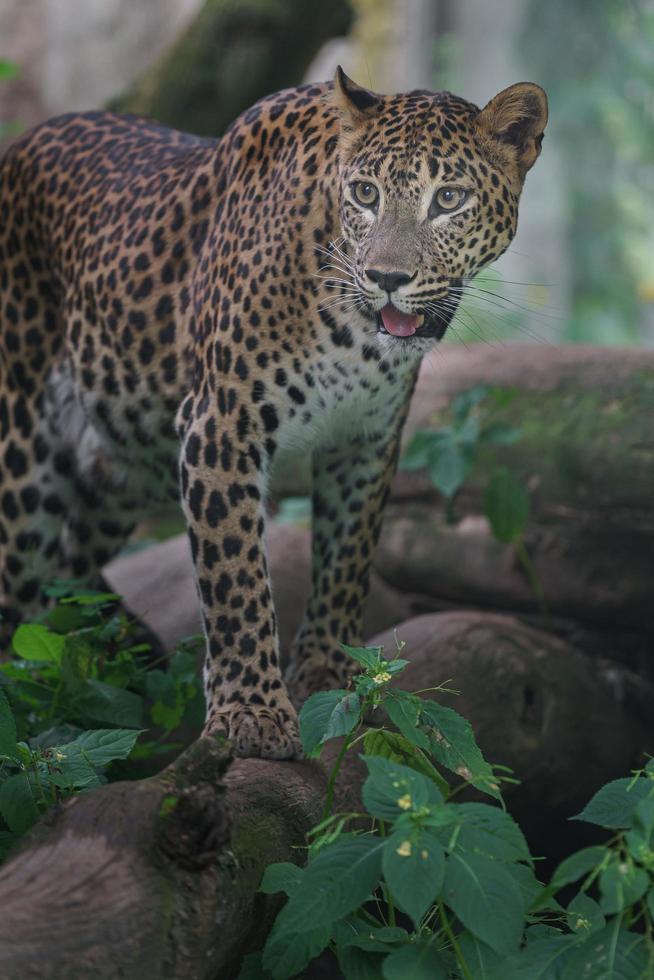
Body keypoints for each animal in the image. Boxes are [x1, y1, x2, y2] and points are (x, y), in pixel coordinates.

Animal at [0, 71, 548, 756]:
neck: (353, 333)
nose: (387, 278)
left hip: (116, 472)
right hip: (25, 476)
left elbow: (347, 557)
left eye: (449, 198)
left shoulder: (366, 440)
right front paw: (252, 712)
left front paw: (334, 674)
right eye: (365, 194)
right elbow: (236, 578)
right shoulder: (219, 427)